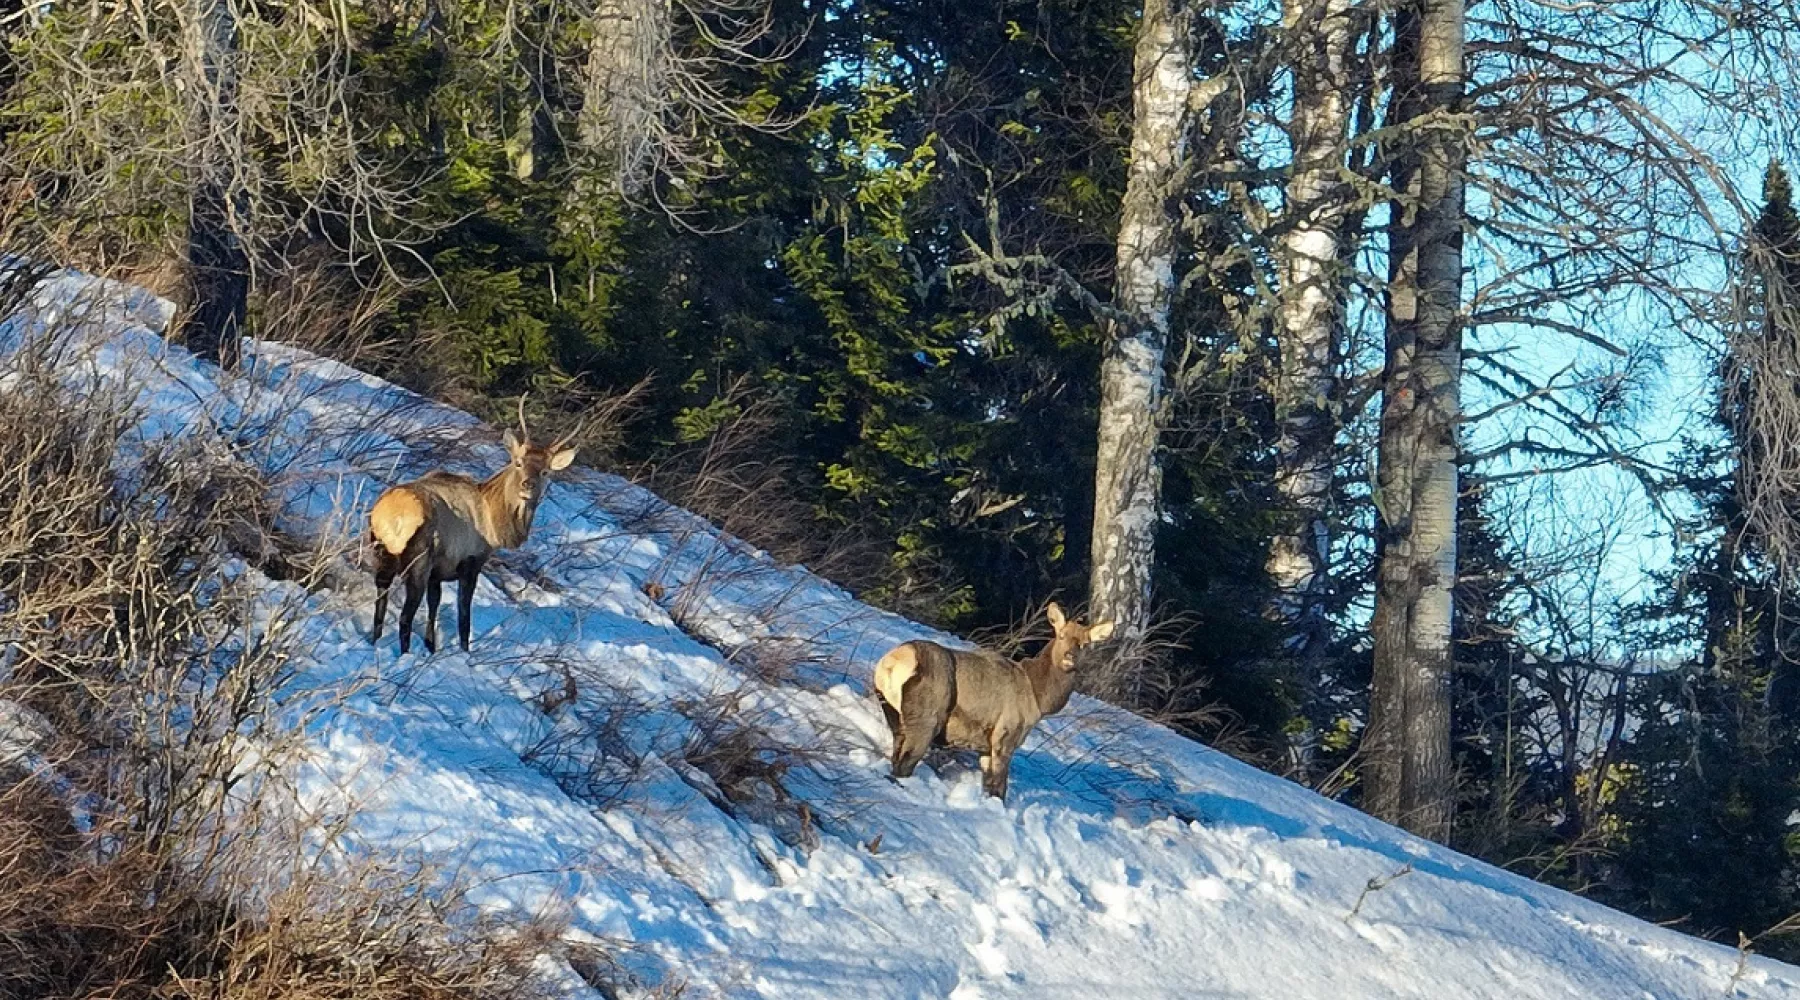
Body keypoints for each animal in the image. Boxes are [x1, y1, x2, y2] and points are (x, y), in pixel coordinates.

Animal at [372, 399, 576, 654]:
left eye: (545, 471)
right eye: (518, 463)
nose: (528, 485)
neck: (494, 523)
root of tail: (390, 516)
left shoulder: (438, 571)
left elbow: (434, 606)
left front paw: (431, 646)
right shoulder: (470, 562)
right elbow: (464, 615)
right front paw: (463, 650)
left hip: (382, 554)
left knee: (380, 602)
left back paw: (375, 642)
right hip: (418, 562)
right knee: (404, 617)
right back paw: (405, 655)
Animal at [871, 597, 1108, 802]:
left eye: (1084, 643)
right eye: (1061, 635)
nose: (1069, 657)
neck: (1039, 698)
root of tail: (893, 662)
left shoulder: (985, 746)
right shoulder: (1006, 735)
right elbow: (999, 788)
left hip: (892, 711)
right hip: (927, 716)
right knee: (905, 762)